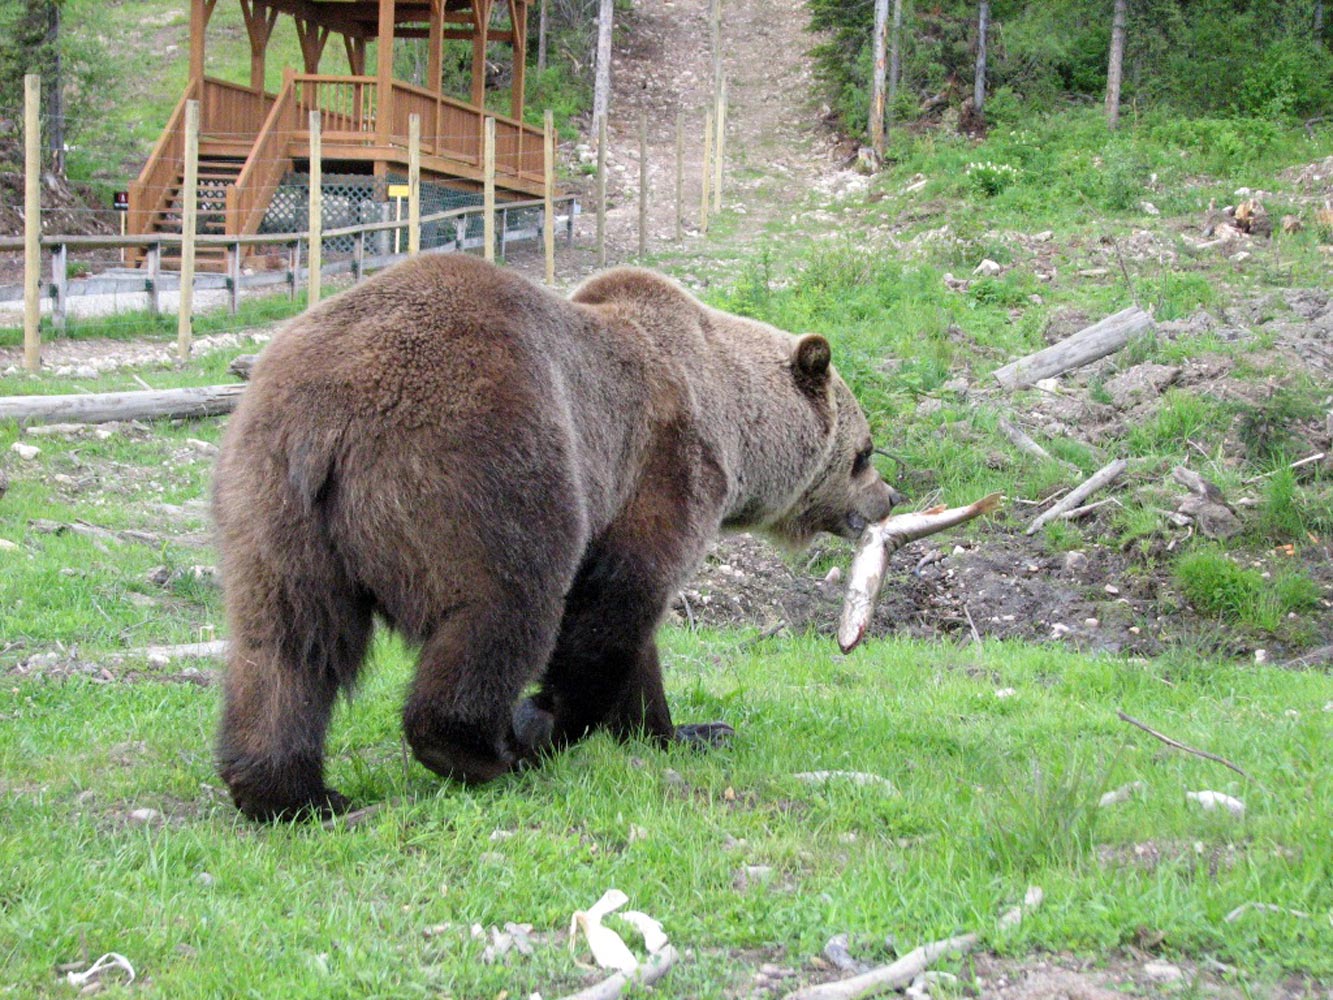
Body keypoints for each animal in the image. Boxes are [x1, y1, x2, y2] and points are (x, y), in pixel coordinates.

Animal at [213, 254, 897, 820]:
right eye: (863, 453)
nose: (889, 497)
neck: (731, 417)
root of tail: (330, 408)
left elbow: (635, 639)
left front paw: (686, 730)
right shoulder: (662, 465)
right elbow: (619, 600)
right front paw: (548, 721)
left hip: (271, 498)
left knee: (287, 644)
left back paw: (292, 793)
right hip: (482, 453)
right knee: (506, 604)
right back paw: (484, 752)